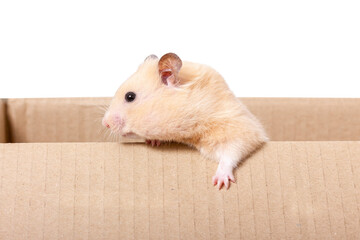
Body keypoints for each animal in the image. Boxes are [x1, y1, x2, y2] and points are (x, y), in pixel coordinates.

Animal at [101, 53, 268, 189]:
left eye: (130, 96)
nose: (105, 123)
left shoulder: (238, 129)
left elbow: (231, 153)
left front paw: (219, 183)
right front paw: (153, 141)